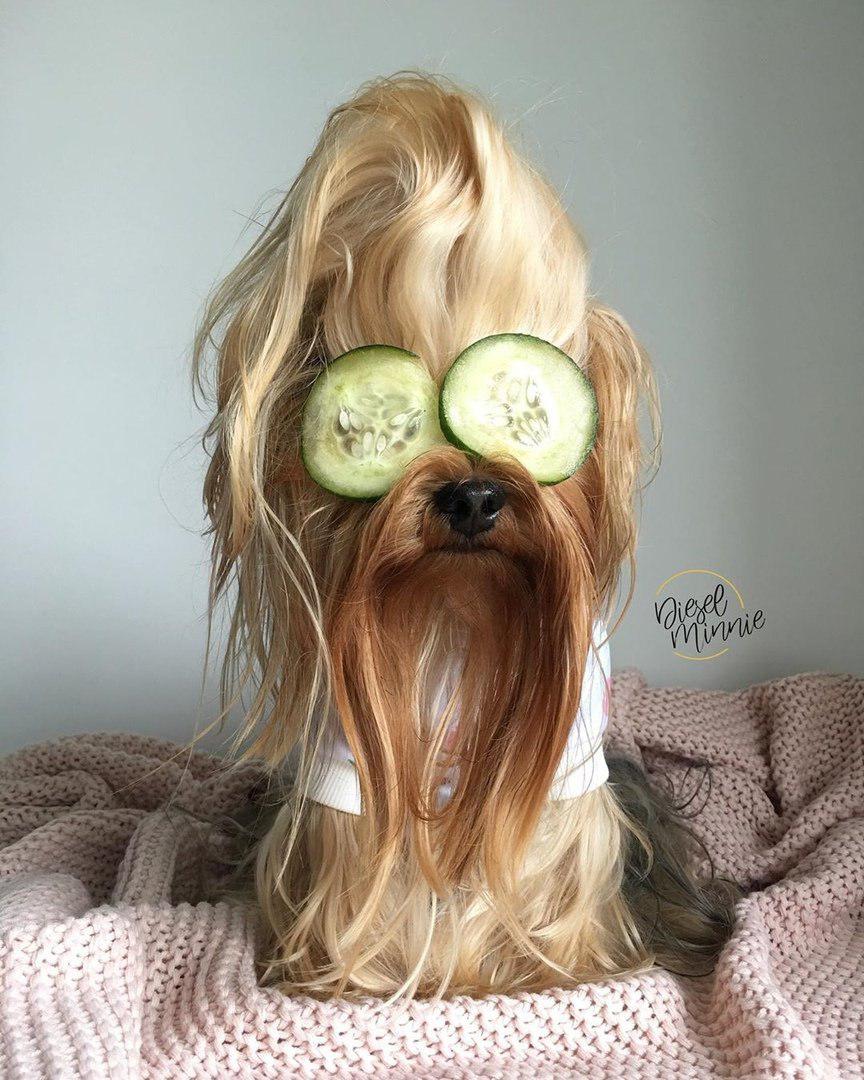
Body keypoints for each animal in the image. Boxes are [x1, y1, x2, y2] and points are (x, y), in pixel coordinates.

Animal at [194, 71, 734, 997]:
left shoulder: (570, 768)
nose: (475, 497)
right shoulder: (345, 766)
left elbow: (544, 854)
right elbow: (368, 860)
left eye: (523, 404)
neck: (457, 609)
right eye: (389, 417)